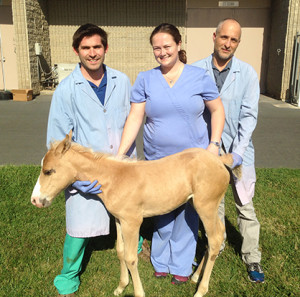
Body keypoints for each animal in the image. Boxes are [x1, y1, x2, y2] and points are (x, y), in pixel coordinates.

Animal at [31, 135, 238, 296]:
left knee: (215, 239)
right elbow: (120, 251)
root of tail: (220, 162)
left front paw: (138, 292)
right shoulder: (119, 219)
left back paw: (201, 290)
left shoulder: (132, 221)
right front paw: (121, 286)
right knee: (218, 235)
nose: (35, 200)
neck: (114, 179)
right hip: (201, 205)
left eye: (48, 171)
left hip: (206, 207)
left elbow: (131, 257)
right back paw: (195, 277)